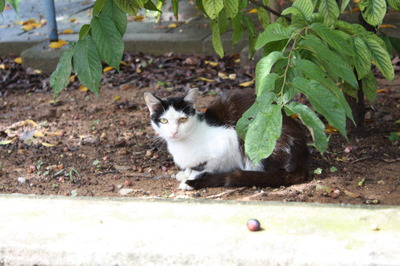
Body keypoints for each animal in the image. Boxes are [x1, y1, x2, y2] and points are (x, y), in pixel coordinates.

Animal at [144, 88, 310, 190]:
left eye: (183, 119)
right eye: (164, 121)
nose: (173, 132)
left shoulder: (225, 142)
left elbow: (204, 166)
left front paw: (191, 179)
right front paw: (185, 173)